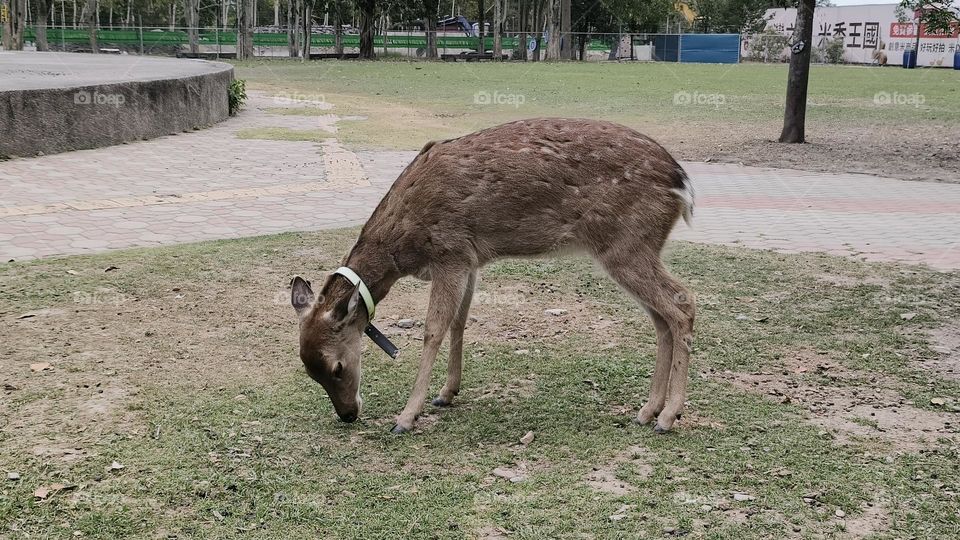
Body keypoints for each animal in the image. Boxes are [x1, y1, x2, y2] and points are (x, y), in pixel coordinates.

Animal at [290, 118, 696, 434]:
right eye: (309, 372)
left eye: (337, 367)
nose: (347, 415)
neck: (402, 246)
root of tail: (683, 185)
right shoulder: (470, 260)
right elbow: (459, 322)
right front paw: (446, 393)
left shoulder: (449, 251)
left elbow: (433, 329)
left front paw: (406, 417)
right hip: (637, 249)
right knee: (662, 317)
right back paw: (648, 411)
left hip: (627, 245)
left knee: (683, 303)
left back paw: (668, 417)